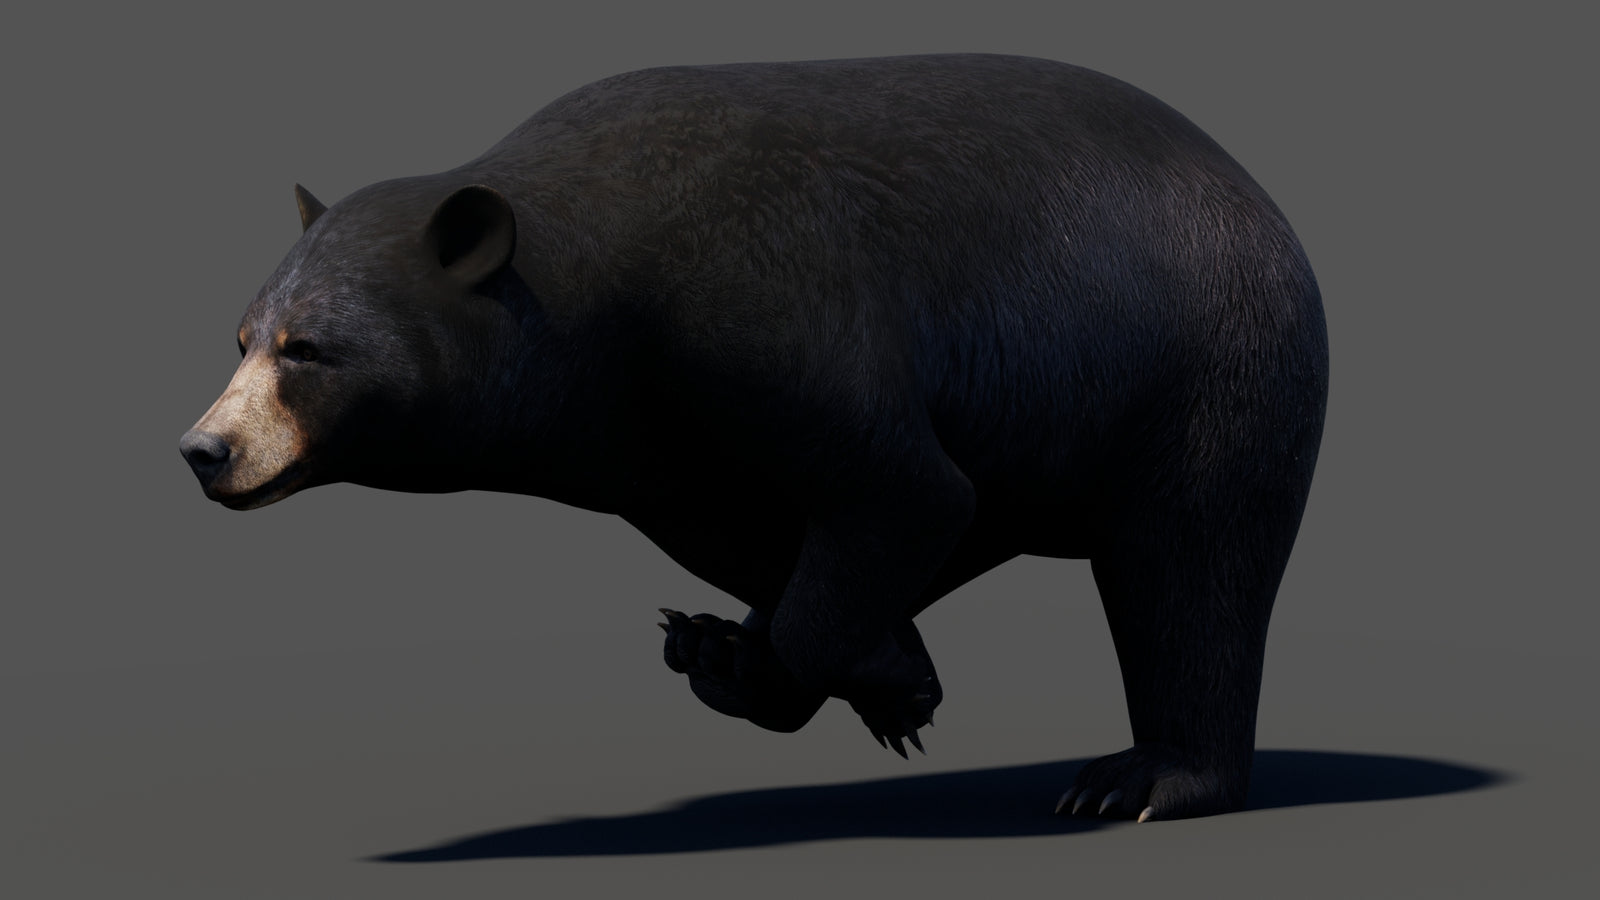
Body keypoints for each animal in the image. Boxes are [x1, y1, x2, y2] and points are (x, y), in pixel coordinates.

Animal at [180, 53, 1328, 822]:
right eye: (241, 338)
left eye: (308, 350)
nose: (204, 450)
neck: (595, 289)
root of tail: (1260, 196)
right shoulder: (648, 438)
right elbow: (756, 529)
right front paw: (809, 662)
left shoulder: (757, 304)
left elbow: (903, 487)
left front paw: (814, 670)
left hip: (1210, 370)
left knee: (1191, 568)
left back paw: (1145, 776)